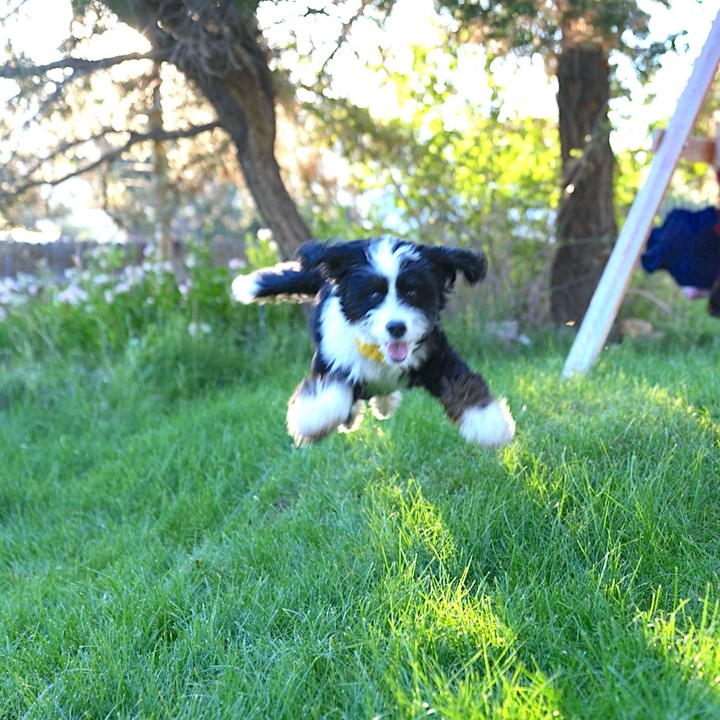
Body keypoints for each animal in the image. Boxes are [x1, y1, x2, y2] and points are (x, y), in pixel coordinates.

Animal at [232, 236, 515, 448]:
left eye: (412, 292)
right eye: (374, 294)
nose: (396, 327)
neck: (377, 353)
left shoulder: (433, 355)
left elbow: (462, 384)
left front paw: (491, 424)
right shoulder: (333, 359)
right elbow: (331, 391)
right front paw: (312, 418)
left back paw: (384, 404)